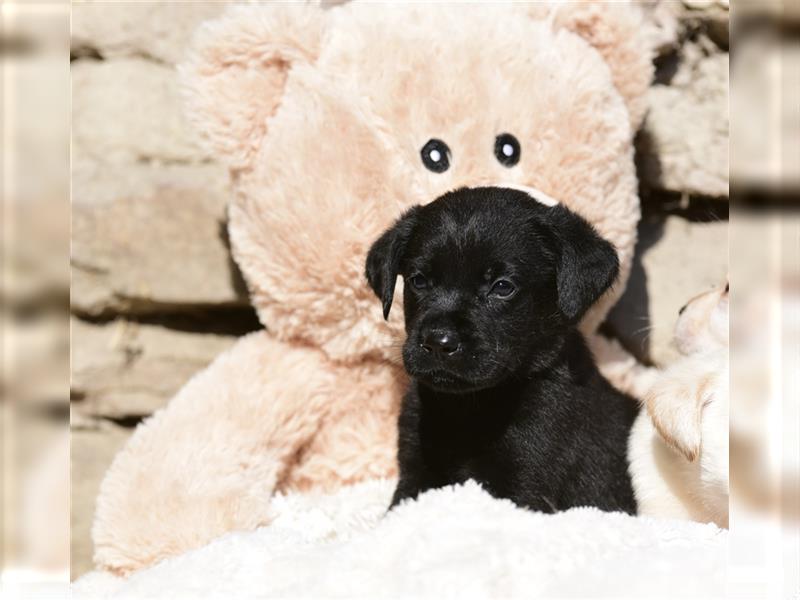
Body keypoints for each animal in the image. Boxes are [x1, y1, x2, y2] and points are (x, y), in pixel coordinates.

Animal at [368, 189, 636, 516]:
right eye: (418, 281)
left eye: (502, 287)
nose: (438, 342)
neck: (466, 408)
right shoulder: (415, 473)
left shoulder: (524, 483)